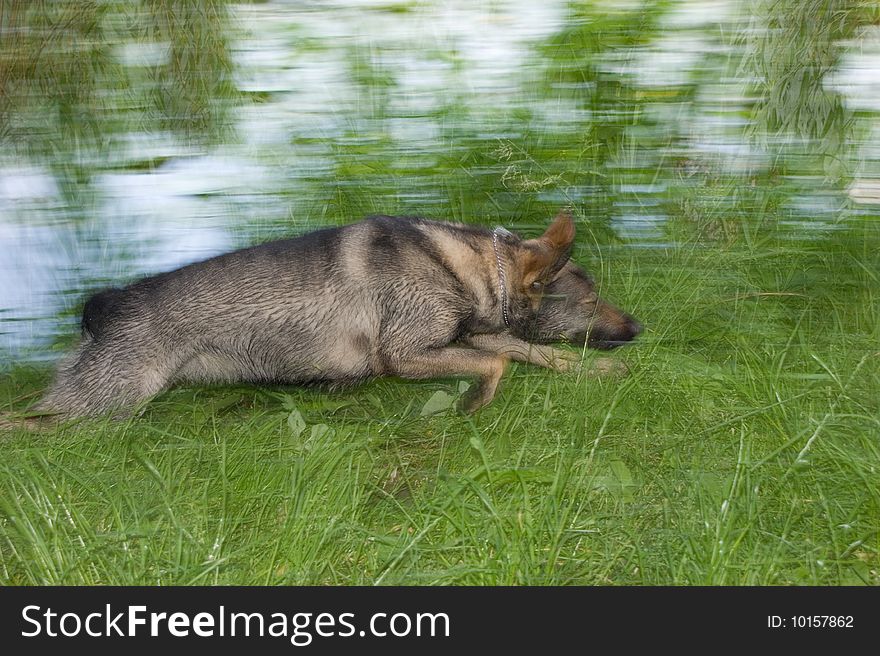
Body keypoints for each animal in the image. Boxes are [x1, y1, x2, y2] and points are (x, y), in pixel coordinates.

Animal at [34, 211, 640, 420]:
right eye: (589, 302)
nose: (638, 329)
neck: (461, 267)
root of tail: (106, 304)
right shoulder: (404, 355)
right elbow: (500, 365)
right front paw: (474, 403)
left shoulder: (471, 335)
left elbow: (531, 351)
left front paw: (595, 370)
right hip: (104, 402)